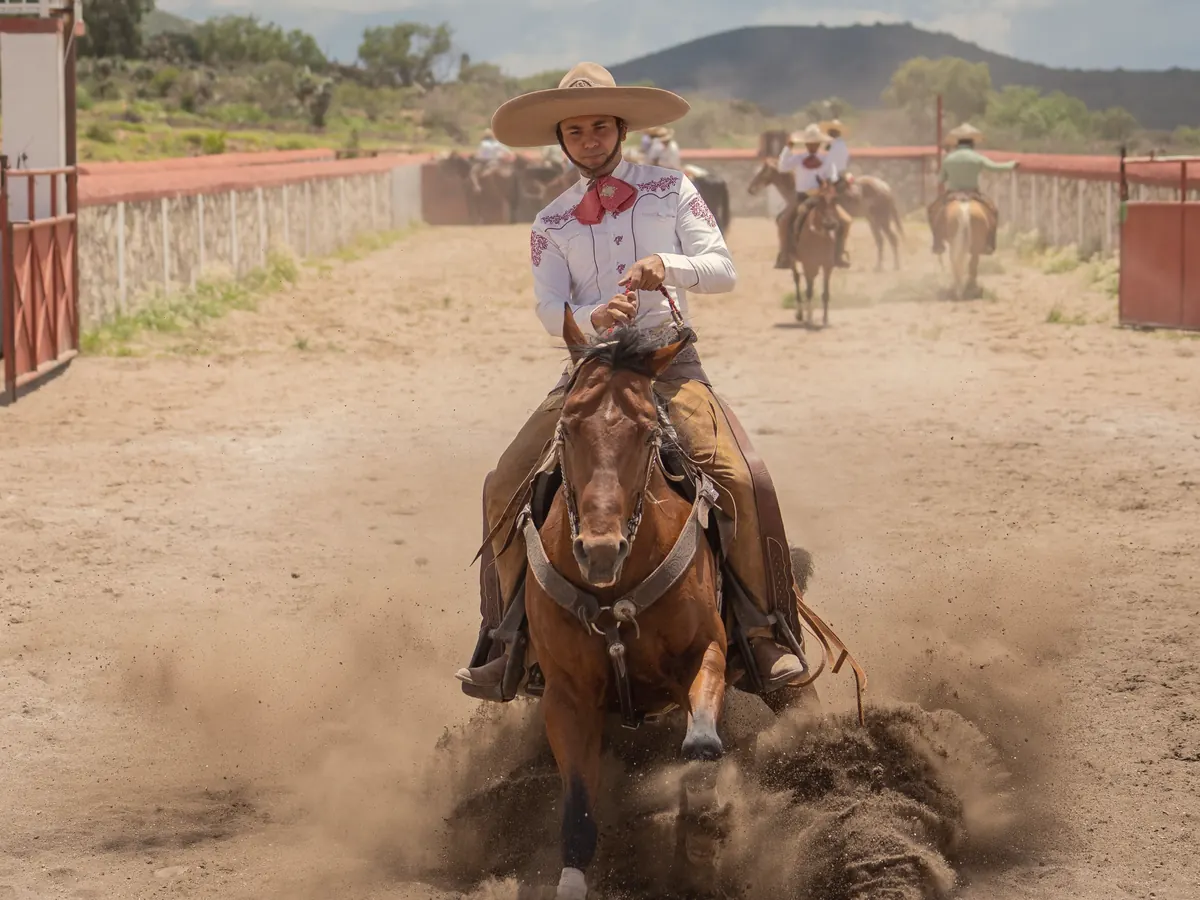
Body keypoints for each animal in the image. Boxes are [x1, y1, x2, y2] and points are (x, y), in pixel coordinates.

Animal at [791, 180, 842, 328]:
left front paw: (825, 320)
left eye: (836, 198)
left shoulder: (827, 266)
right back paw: (800, 314)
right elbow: (809, 291)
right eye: (820, 199)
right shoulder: (808, 264)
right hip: (794, 260)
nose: (830, 224)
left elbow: (825, 293)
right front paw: (809, 320)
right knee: (797, 279)